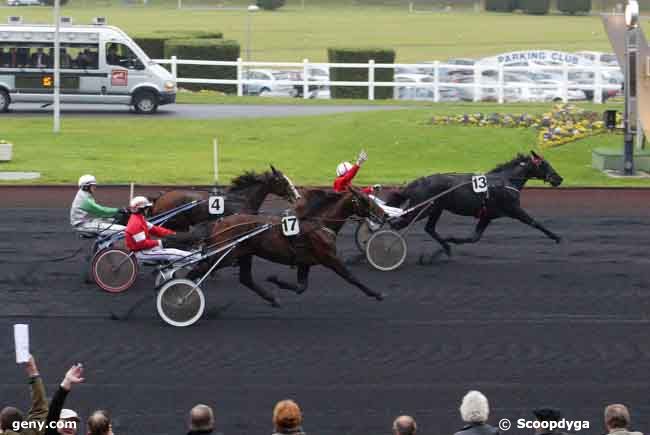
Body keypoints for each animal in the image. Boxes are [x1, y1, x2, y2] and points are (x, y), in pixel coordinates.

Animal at [185, 189, 382, 308]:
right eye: (365, 200)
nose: (384, 215)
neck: (319, 223)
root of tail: (220, 223)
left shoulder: (304, 262)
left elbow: (301, 287)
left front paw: (276, 280)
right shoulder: (329, 257)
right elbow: (351, 277)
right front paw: (376, 293)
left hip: (244, 254)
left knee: (245, 279)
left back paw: (272, 299)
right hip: (227, 255)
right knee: (200, 269)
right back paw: (183, 295)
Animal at [384, 152, 560, 264]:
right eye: (544, 164)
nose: (559, 178)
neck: (505, 181)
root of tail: (418, 182)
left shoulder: (487, 216)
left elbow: (474, 238)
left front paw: (449, 242)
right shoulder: (514, 209)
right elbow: (535, 222)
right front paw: (556, 237)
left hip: (435, 209)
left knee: (429, 228)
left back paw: (446, 247)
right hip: (422, 209)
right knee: (397, 224)